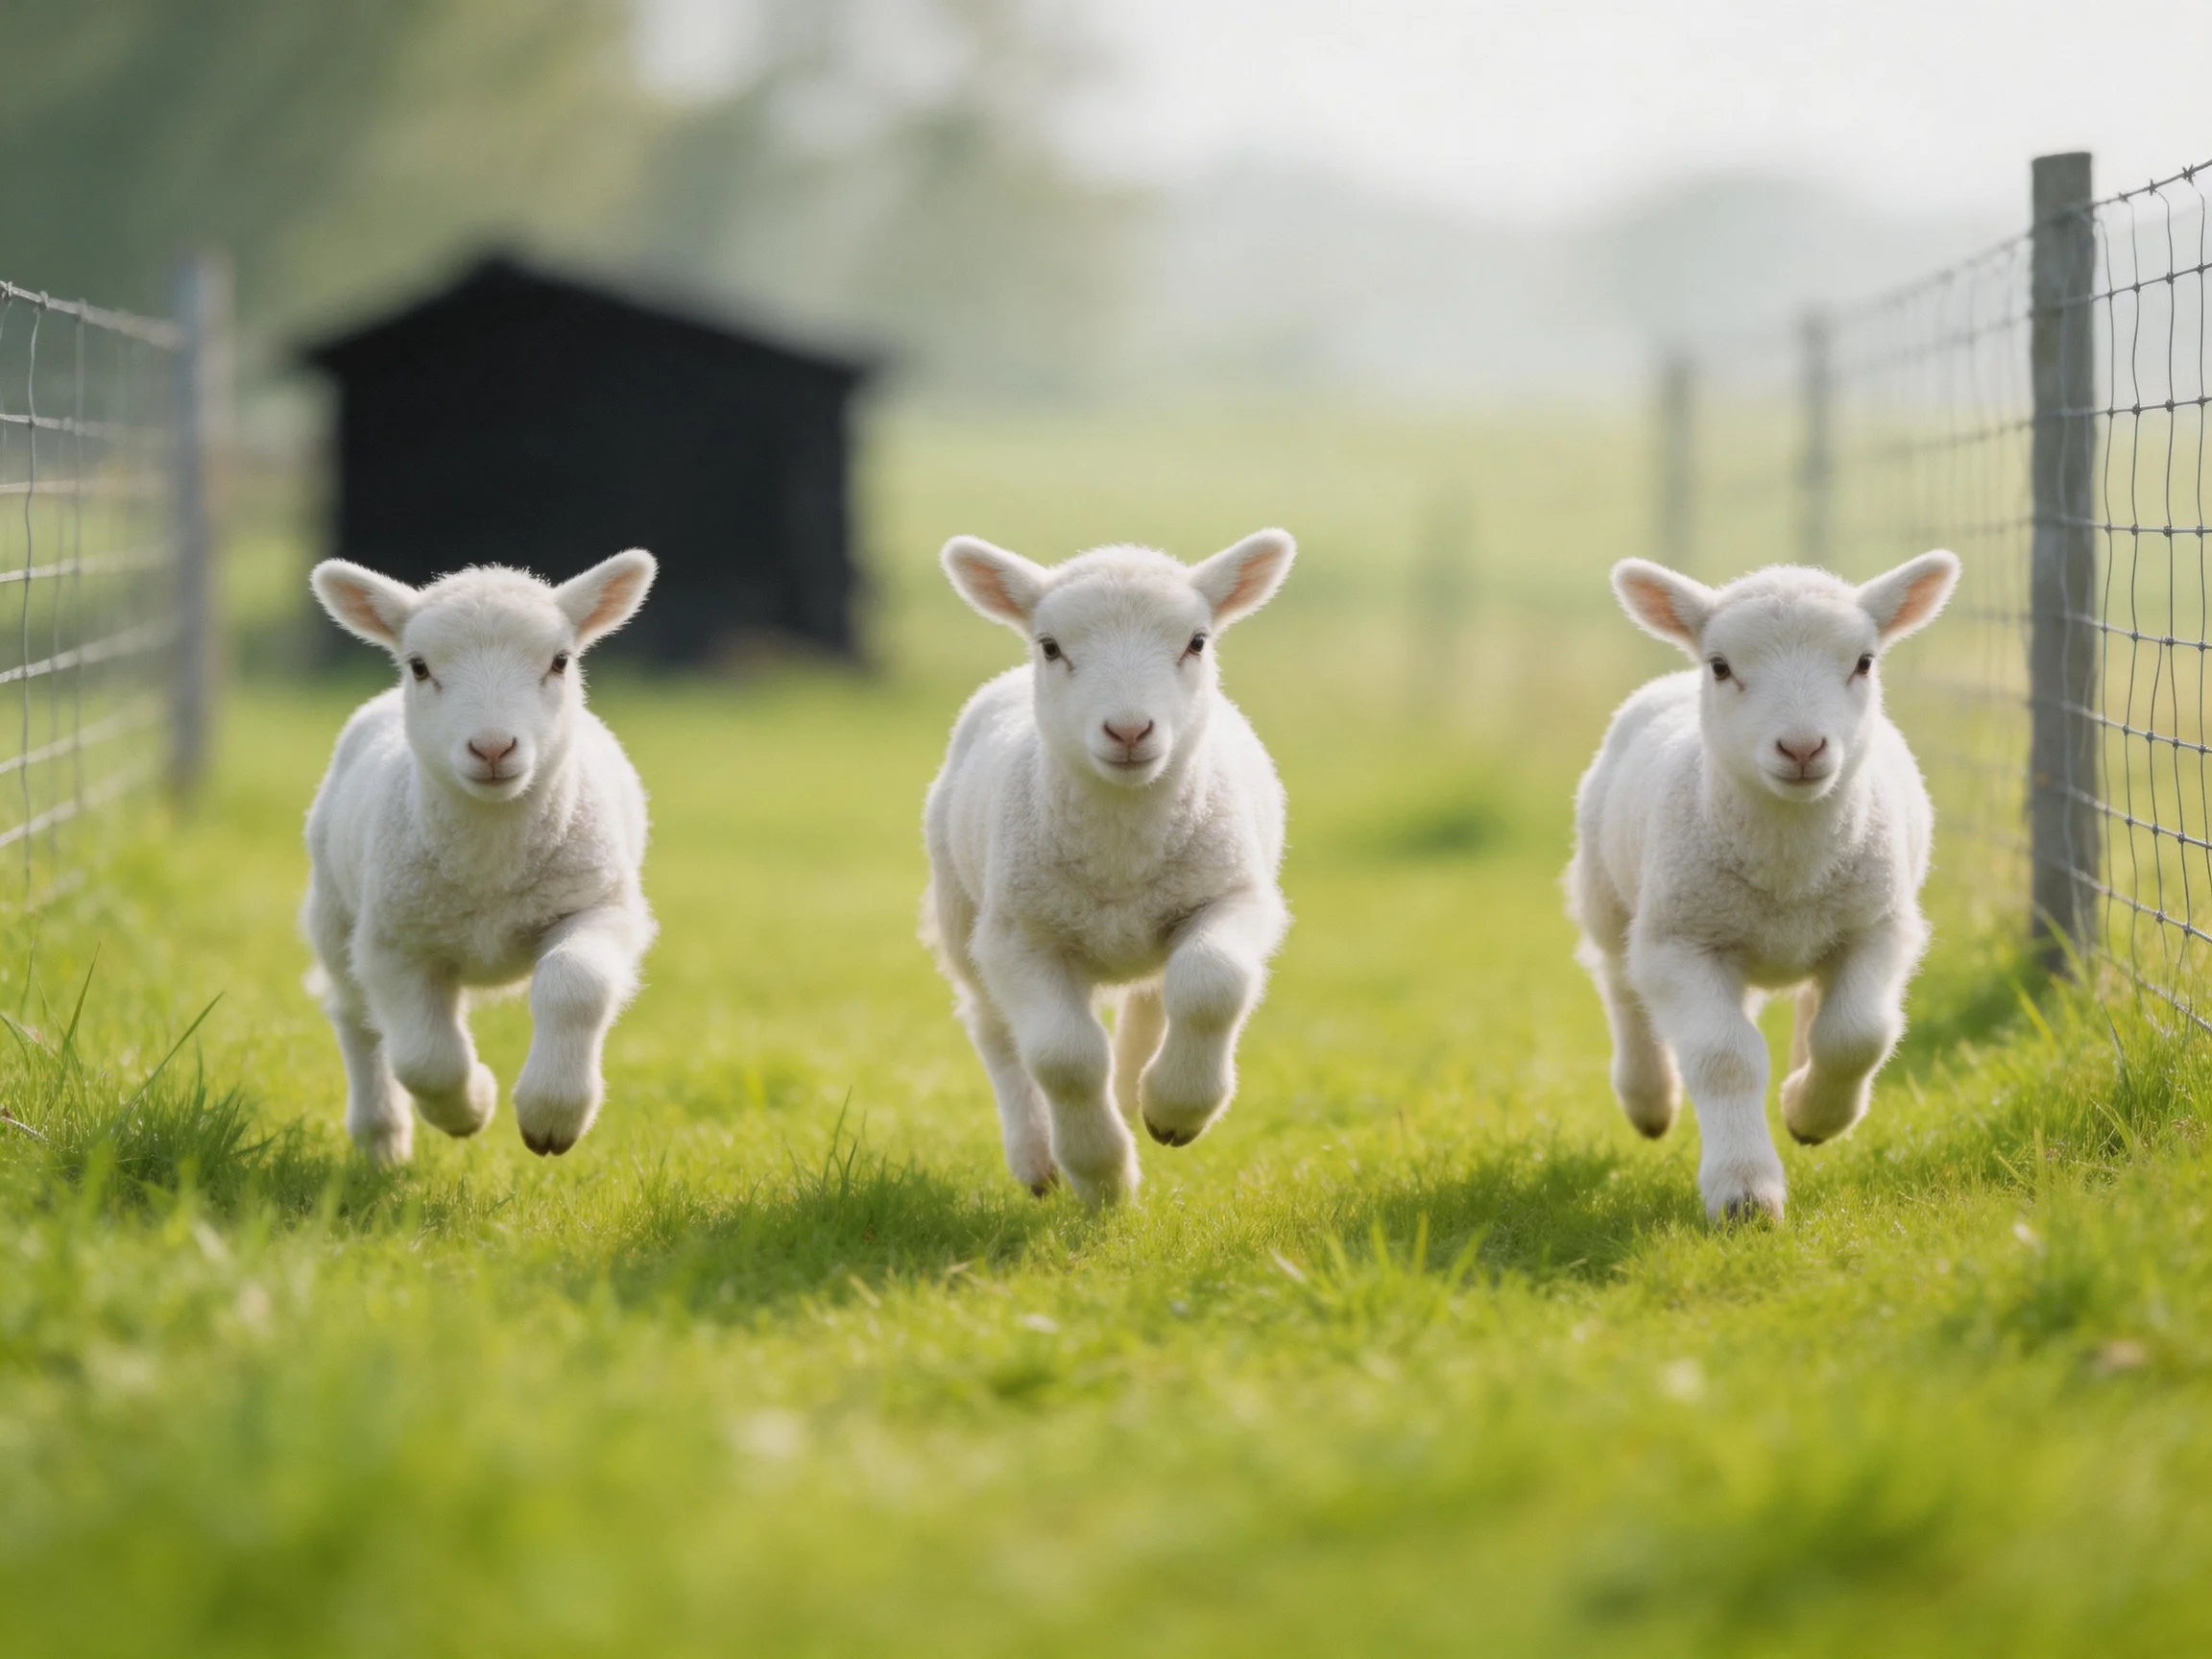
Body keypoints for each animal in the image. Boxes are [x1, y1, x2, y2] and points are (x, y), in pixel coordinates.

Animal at [302, 551, 659, 1165]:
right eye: (419, 666)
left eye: (560, 661)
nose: (493, 748)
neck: (493, 860)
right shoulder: (392, 942)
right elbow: (424, 1058)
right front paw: (470, 1108)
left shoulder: (600, 905)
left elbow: (577, 984)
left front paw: (551, 1115)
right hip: (335, 913)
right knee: (357, 1019)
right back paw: (382, 1138)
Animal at [922, 530, 1296, 1205]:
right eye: (1050, 646)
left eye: (1197, 641)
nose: (1128, 730)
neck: (1121, 848)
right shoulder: (1019, 936)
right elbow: (1063, 1058)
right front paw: (1101, 1176)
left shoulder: (1235, 895)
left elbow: (1211, 984)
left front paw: (1176, 1109)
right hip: (962, 913)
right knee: (993, 1029)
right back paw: (1037, 1156)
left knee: (1152, 995)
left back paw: (1135, 1091)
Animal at [1566, 550, 1961, 1223]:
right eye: (1721, 666)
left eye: (1864, 661)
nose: (1802, 747)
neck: (1789, 867)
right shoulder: (1681, 943)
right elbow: (1726, 1058)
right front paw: (1745, 1194)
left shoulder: (1879, 927)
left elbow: (1856, 1035)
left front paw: (1812, 1114)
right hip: (1611, 896)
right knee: (1621, 987)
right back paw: (1649, 1098)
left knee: (1812, 1003)